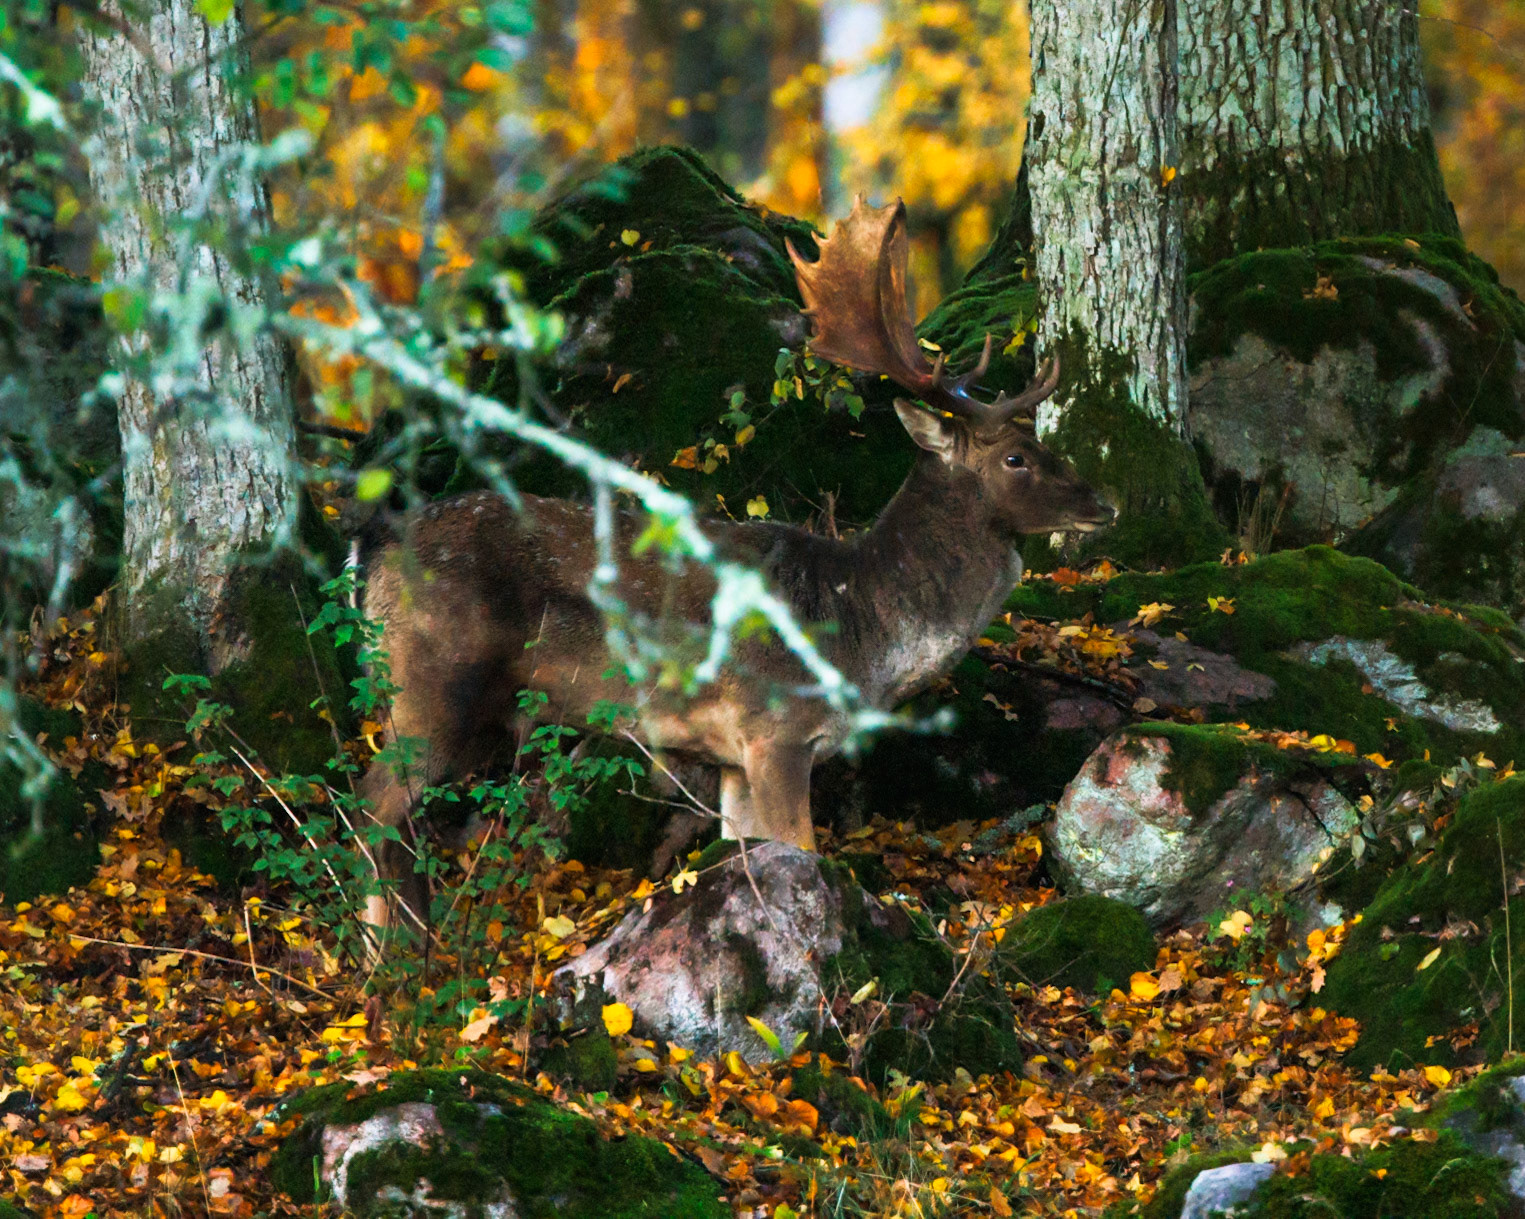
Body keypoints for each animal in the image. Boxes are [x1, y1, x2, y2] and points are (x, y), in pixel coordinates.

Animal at [357, 197, 1114, 945]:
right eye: (1016, 456)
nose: (1102, 503)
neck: (860, 630)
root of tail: (374, 564)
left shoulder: (730, 753)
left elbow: (743, 850)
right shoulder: (776, 728)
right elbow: (802, 851)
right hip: (431, 680)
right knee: (370, 811)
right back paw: (385, 958)